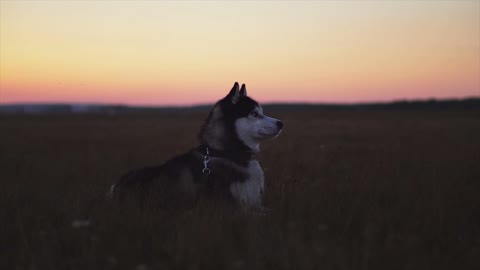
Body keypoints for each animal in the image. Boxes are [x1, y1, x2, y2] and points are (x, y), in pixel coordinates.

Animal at [107, 82, 284, 211]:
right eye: (254, 114)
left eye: (262, 112)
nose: (281, 123)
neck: (226, 153)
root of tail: (115, 186)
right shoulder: (234, 209)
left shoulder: (256, 204)